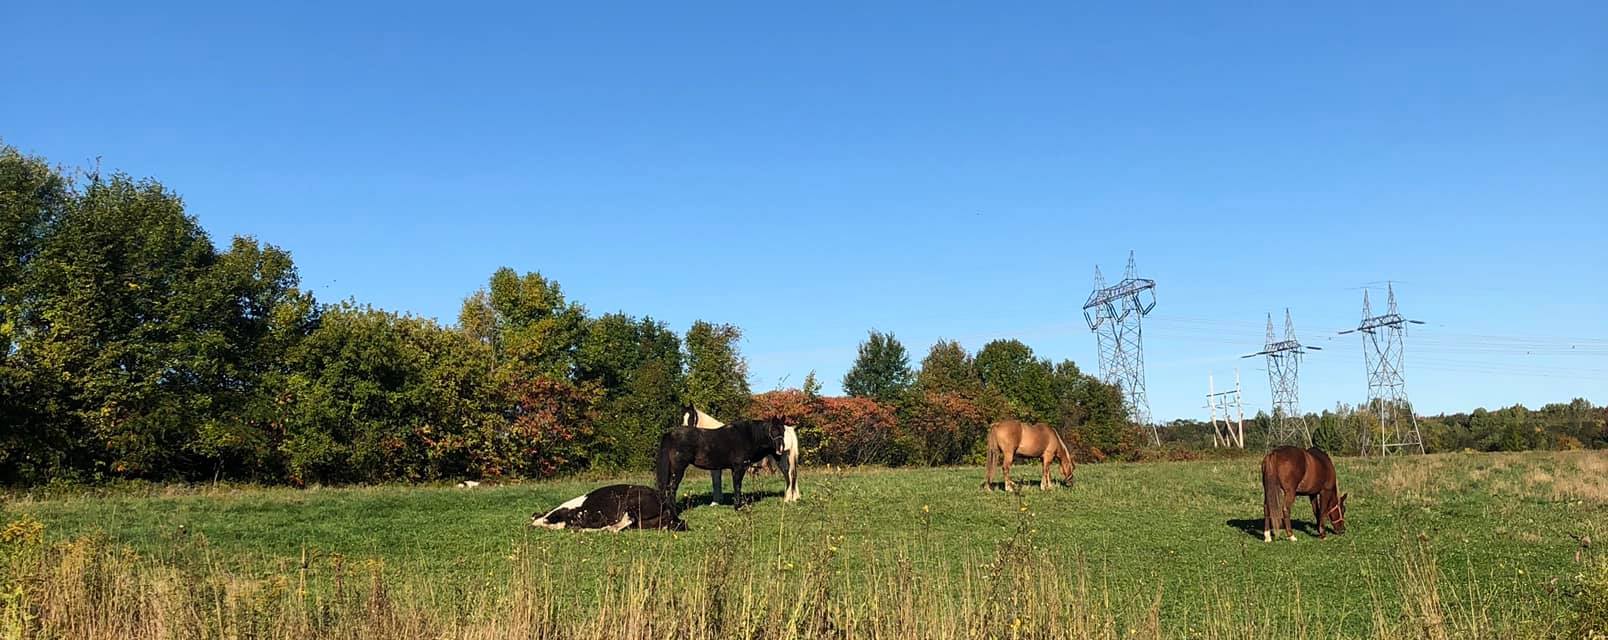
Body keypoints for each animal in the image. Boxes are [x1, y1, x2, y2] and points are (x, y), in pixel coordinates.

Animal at [656, 405, 787, 511]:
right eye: (773, 430)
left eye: (784, 430)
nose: (780, 448)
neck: (747, 436)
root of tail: (671, 434)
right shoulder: (739, 468)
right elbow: (737, 485)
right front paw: (737, 506)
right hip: (678, 470)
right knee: (672, 488)